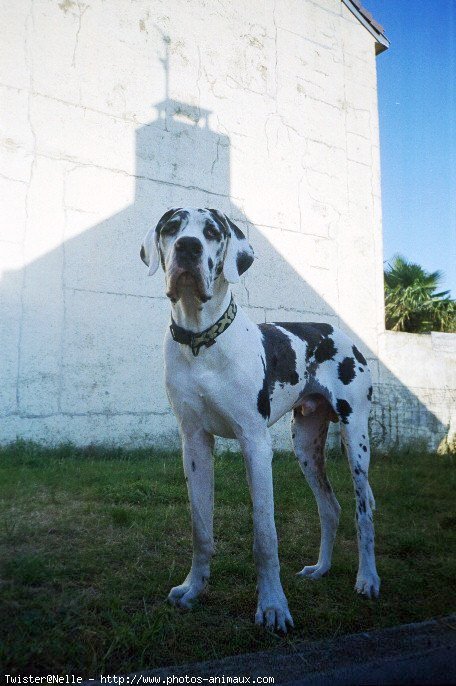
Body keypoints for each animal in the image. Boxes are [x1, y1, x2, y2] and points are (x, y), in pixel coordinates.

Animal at [140, 208, 382, 636]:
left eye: (212, 232)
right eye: (171, 228)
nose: (188, 247)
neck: (203, 342)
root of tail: (335, 330)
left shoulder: (254, 443)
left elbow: (265, 537)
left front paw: (272, 607)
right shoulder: (194, 443)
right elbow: (200, 528)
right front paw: (193, 588)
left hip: (355, 438)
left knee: (363, 507)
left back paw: (367, 579)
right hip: (305, 445)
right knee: (331, 507)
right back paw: (321, 568)